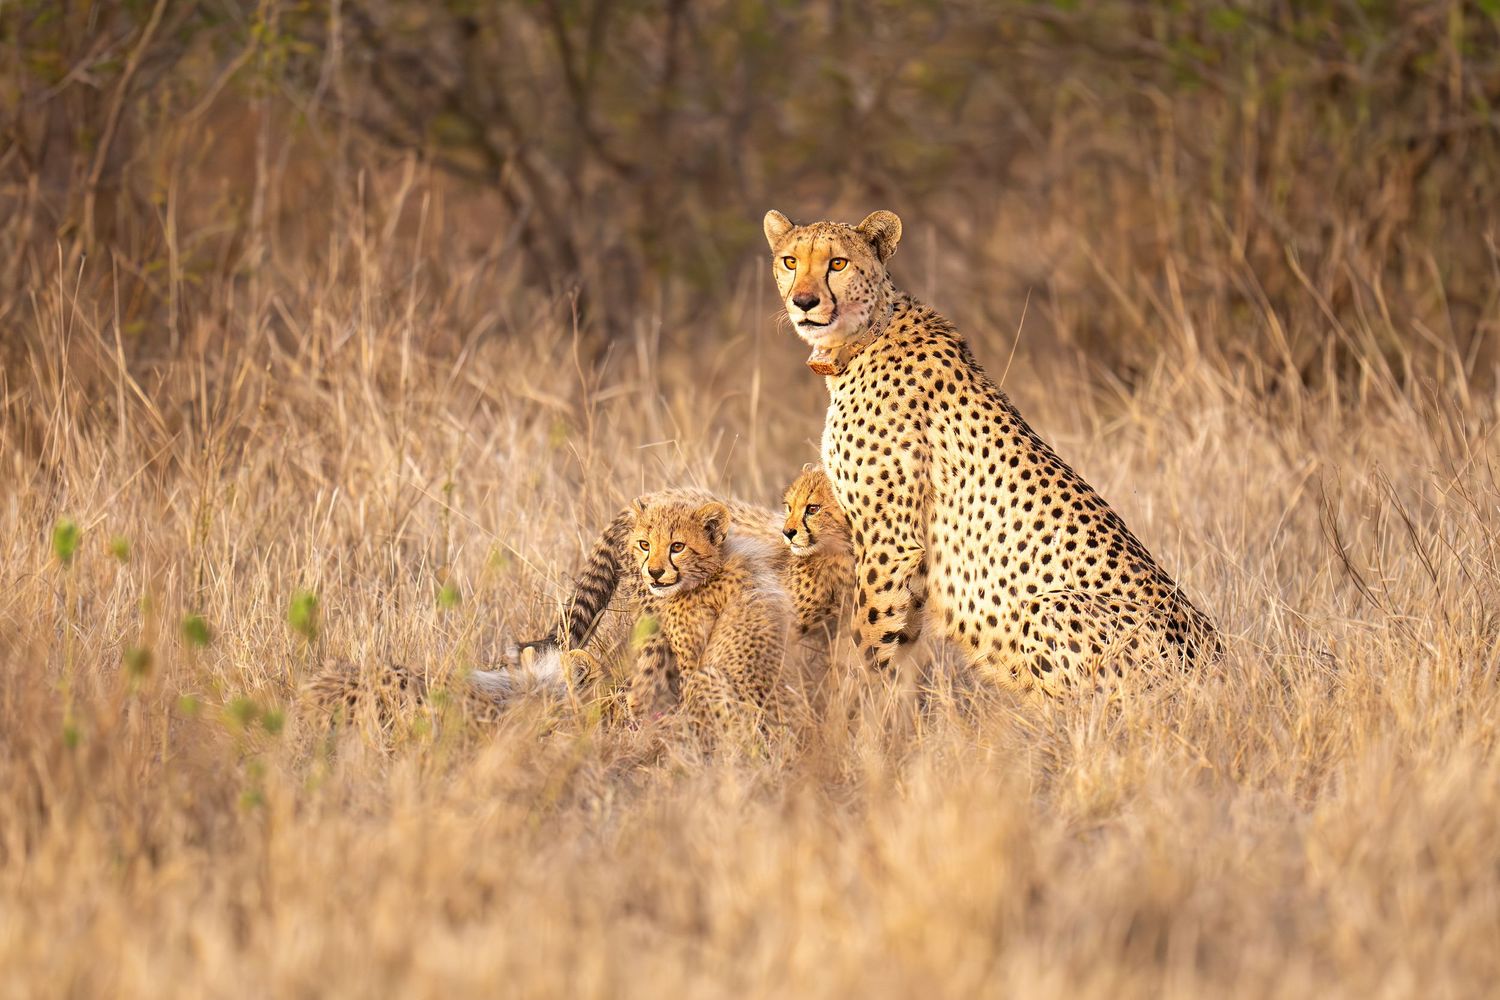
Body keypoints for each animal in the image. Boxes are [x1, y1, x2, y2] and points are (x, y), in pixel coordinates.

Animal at [763, 208, 1220, 695]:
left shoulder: (889, 537)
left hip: (1047, 607)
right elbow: (899, 643)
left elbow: (869, 636)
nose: (804, 302)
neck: (864, 336)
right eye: (791, 261)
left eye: (837, 264)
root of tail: (1216, 657)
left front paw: (852, 707)